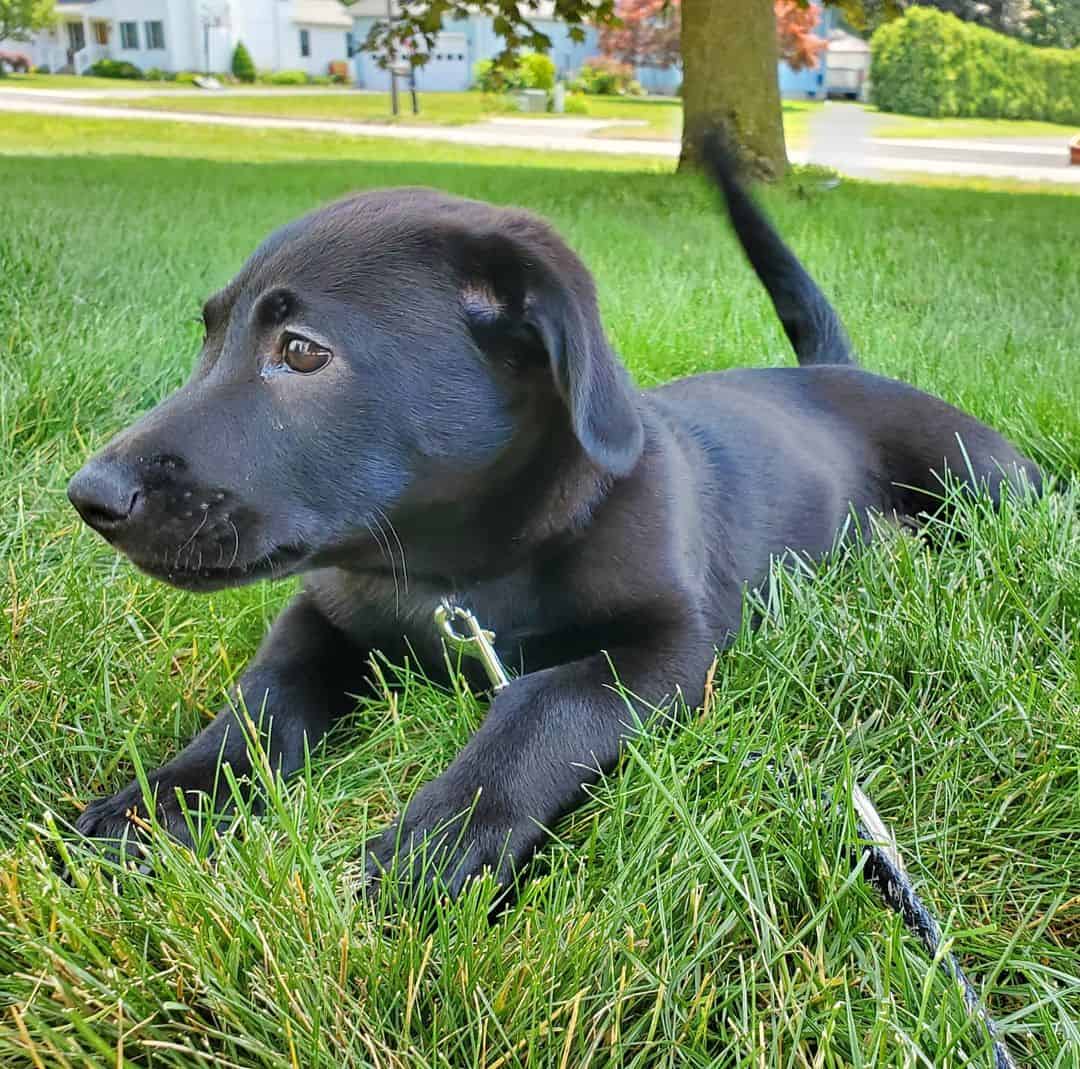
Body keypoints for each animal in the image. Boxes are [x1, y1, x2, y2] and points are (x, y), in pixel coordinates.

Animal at [67, 144, 1036, 894]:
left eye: (301, 352)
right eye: (210, 333)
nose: (91, 497)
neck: (451, 572)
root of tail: (838, 367)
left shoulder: (672, 644)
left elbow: (545, 702)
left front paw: (446, 837)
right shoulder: (320, 610)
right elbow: (264, 699)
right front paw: (160, 803)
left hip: (980, 475)